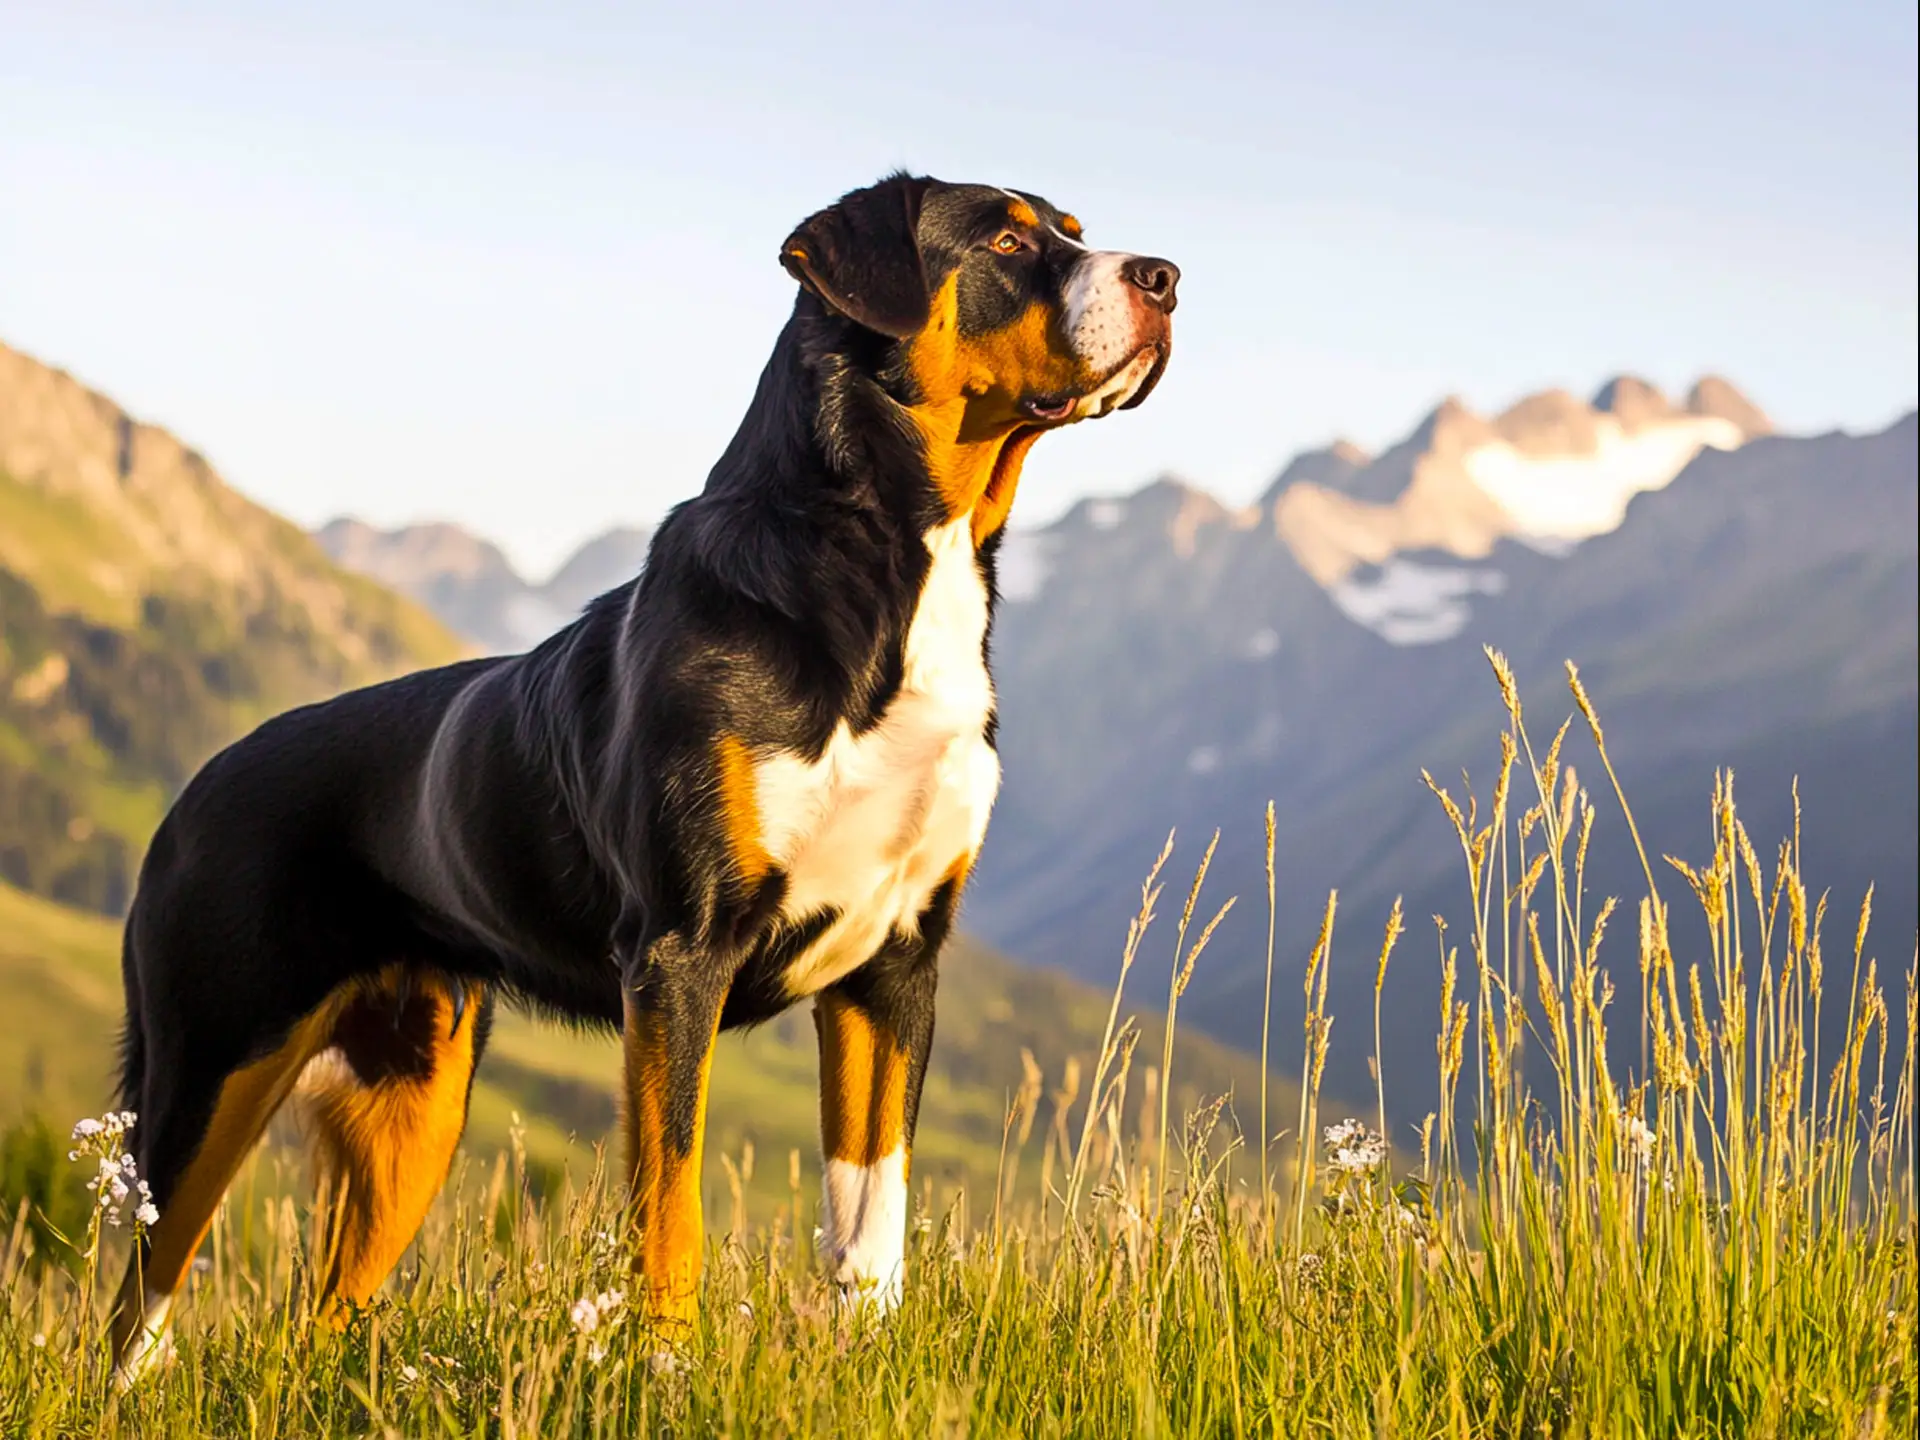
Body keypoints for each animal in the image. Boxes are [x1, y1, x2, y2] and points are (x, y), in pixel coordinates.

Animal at [120, 168, 1175, 1374]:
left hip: (414, 1100)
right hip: (212, 1062)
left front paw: (865, 1352)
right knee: (139, 1296)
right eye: (1004, 237)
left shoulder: (897, 958)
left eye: (1075, 231)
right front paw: (666, 1369)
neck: (893, 577)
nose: (1166, 278)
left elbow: (873, 1202)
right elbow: (670, 1201)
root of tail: (193, 792)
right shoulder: (680, 950)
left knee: (321, 1308)